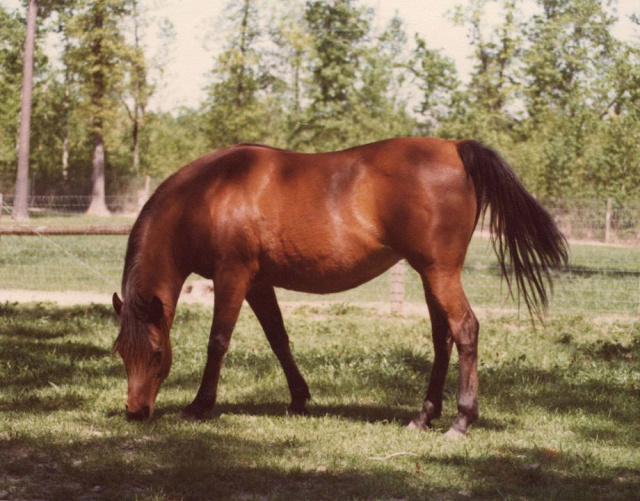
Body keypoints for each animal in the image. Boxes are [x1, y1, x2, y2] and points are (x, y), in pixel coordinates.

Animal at [112, 138, 568, 438]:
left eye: (157, 352)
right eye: (121, 352)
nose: (136, 411)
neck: (211, 193)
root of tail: (455, 147)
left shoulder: (233, 276)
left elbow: (218, 342)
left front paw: (199, 406)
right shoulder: (259, 283)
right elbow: (279, 338)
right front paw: (299, 399)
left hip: (441, 272)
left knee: (465, 330)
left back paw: (461, 420)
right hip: (430, 274)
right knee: (443, 339)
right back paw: (423, 416)